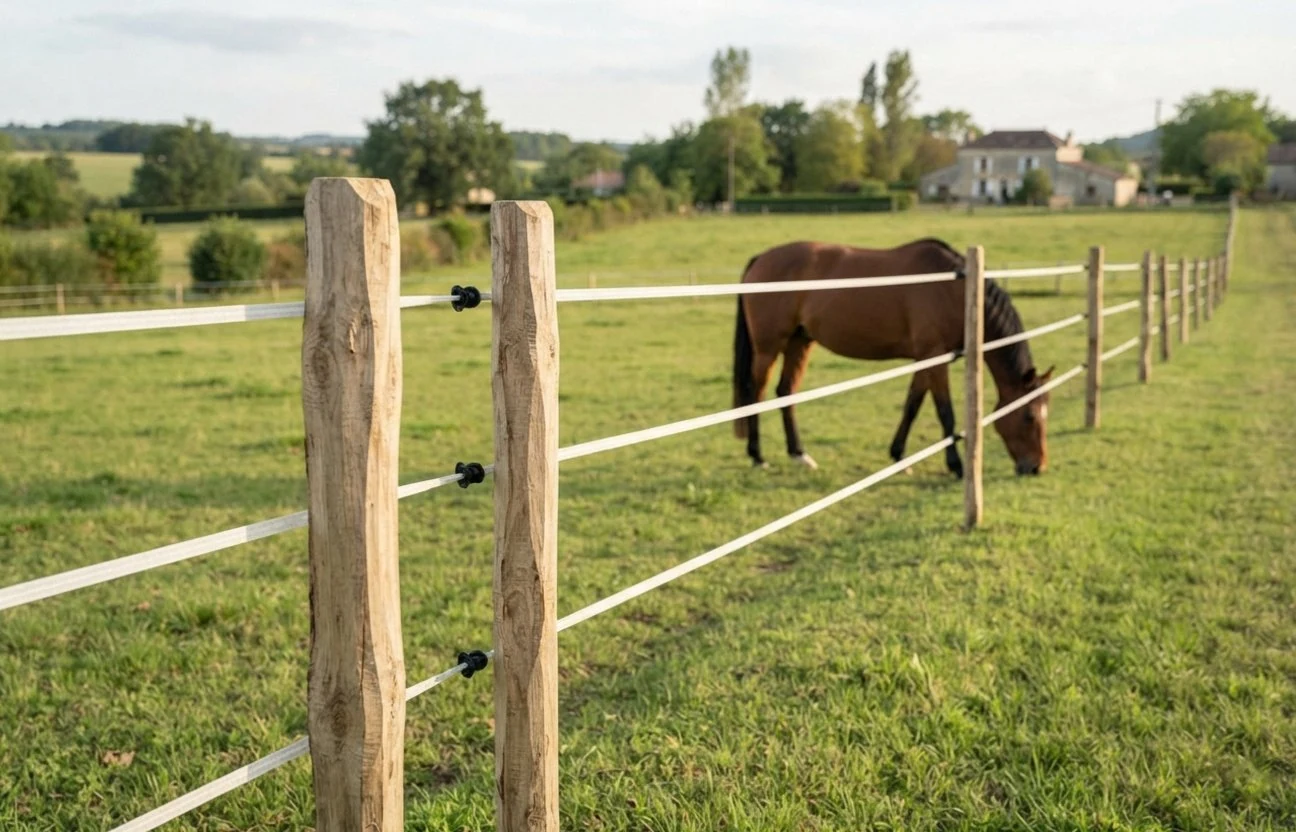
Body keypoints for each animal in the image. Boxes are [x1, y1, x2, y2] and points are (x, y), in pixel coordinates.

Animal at [732, 237, 1054, 476]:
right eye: (1028, 416)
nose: (1036, 466)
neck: (955, 289)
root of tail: (762, 258)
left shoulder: (926, 359)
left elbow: (912, 405)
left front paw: (898, 456)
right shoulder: (936, 357)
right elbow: (945, 412)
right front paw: (956, 466)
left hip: (799, 342)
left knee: (786, 392)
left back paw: (799, 454)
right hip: (768, 347)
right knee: (757, 392)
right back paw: (757, 456)